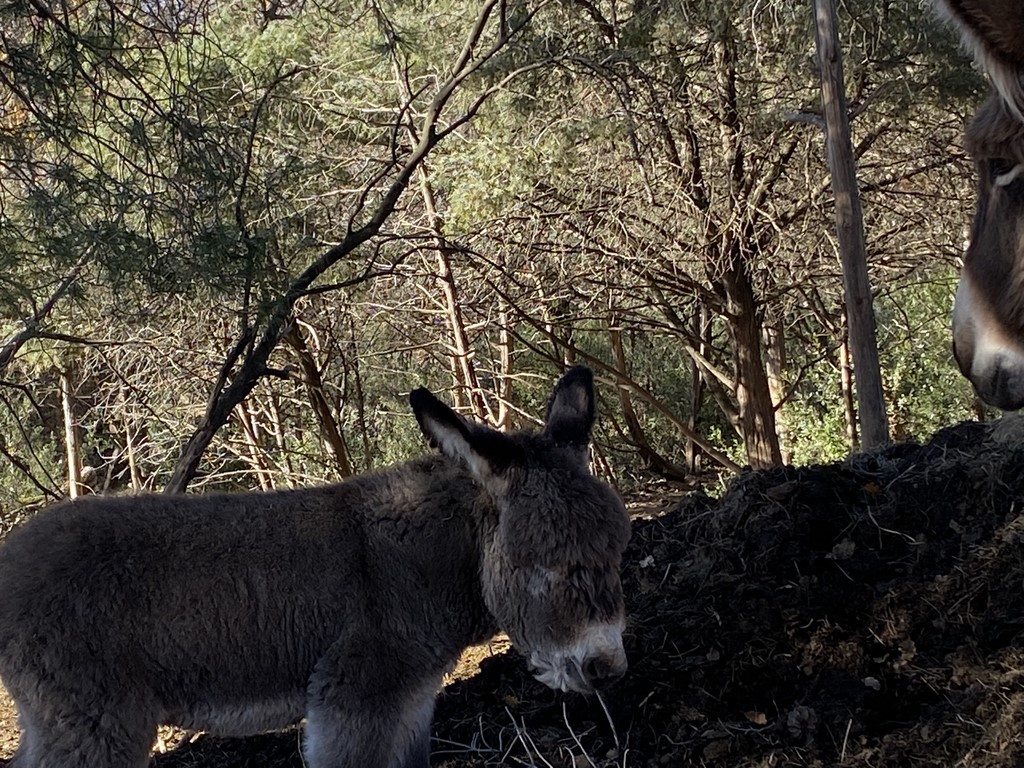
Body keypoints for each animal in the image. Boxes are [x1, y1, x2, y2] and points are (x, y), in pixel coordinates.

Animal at [0, 365, 631, 768]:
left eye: (616, 552)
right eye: (540, 564)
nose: (608, 669)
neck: (411, 566)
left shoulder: (411, 701)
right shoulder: (356, 700)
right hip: (97, 720)